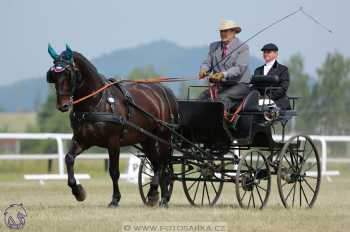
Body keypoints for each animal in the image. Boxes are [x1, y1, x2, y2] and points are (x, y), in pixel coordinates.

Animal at [45, 44, 178, 208]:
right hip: (147, 139)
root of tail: (164, 91)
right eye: (52, 75)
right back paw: (159, 196)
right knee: (158, 164)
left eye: (68, 73)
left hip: (162, 136)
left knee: (163, 164)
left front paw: (115, 199)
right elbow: (69, 159)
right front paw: (78, 191)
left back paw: (158, 195)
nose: (62, 105)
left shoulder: (113, 142)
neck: (96, 103)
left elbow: (114, 172)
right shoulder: (82, 140)